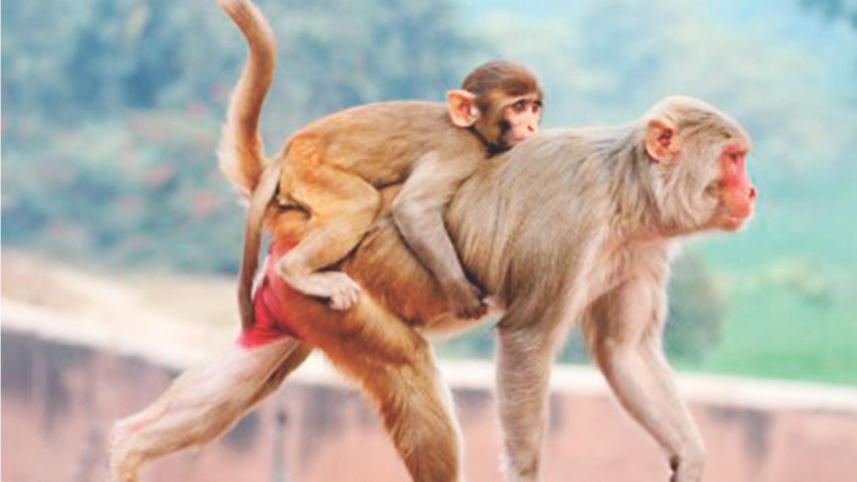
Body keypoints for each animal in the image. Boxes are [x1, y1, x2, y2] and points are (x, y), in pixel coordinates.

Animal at [223, 0, 543, 333]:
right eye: (519, 107)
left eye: (534, 107)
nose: (532, 126)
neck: (472, 129)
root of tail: (289, 149)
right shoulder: (462, 151)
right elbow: (413, 208)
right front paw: (460, 290)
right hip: (311, 169)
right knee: (360, 202)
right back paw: (295, 270)